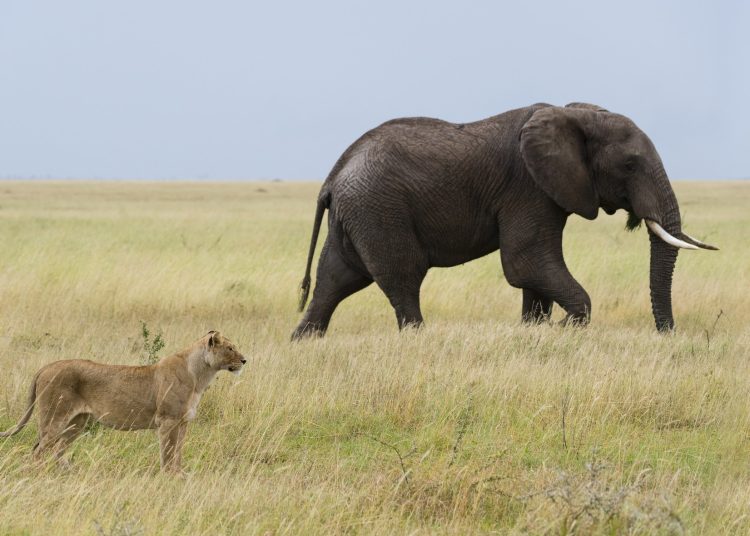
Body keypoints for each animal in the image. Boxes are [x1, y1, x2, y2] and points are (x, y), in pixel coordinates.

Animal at [290, 102, 720, 340]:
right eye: (630, 165)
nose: (668, 334)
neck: (574, 114)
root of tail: (333, 175)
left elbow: (534, 275)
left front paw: (537, 331)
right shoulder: (527, 188)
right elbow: (525, 263)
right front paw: (563, 329)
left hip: (357, 214)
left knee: (335, 281)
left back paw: (302, 342)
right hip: (379, 210)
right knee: (402, 279)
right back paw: (417, 339)